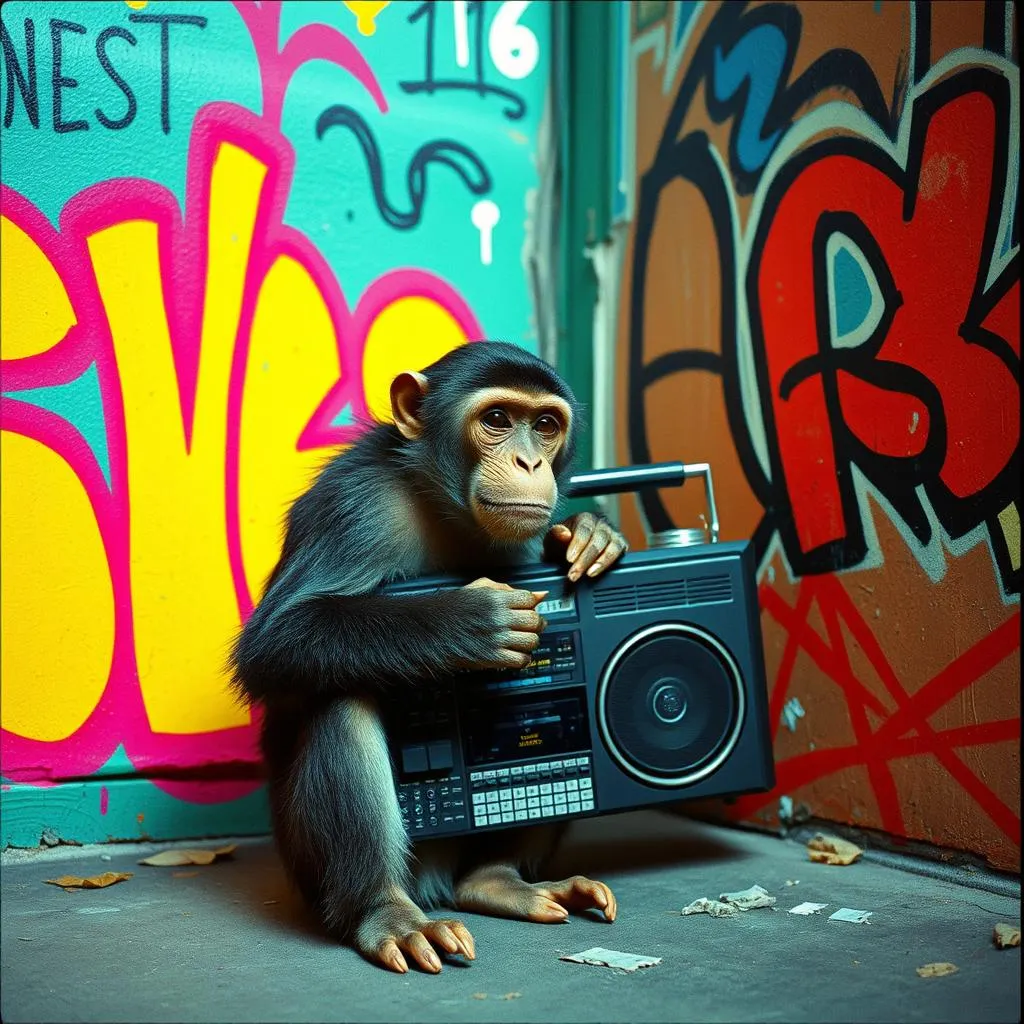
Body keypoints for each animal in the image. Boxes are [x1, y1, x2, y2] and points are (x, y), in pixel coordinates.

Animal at [230, 341, 628, 975]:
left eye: (545, 426)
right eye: (497, 419)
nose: (529, 463)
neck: (442, 505)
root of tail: (434, 886)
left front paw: (590, 532)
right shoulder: (353, 506)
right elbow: (276, 640)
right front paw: (469, 621)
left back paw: (496, 881)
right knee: (339, 700)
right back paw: (384, 912)